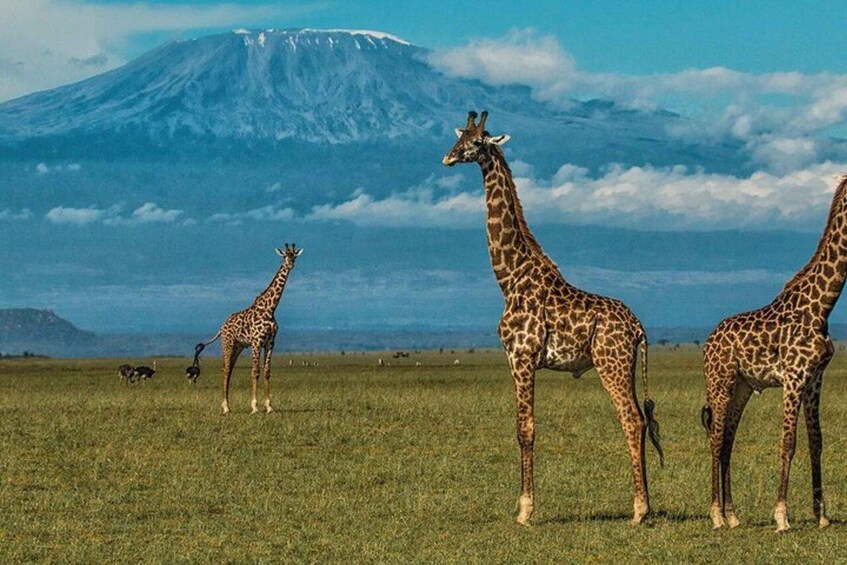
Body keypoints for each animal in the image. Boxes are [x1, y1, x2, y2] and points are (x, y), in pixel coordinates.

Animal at [199, 243, 303, 414]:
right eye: (284, 256)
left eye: (294, 256)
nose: (290, 265)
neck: (270, 309)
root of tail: (222, 327)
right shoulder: (256, 342)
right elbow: (255, 371)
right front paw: (254, 407)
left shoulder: (270, 343)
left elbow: (267, 372)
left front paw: (269, 406)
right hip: (227, 344)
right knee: (225, 369)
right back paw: (225, 407)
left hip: (238, 347)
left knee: (230, 369)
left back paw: (228, 405)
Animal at [442, 111, 663, 526]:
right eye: (460, 137)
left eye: (477, 142)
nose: (447, 157)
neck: (510, 278)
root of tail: (639, 327)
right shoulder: (519, 359)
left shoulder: (521, 357)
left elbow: (525, 428)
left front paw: (525, 510)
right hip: (624, 366)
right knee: (640, 419)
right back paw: (644, 505)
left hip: (610, 364)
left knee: (631, 418)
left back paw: (640, 510)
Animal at [702, 175, 847, 532]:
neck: (821, 307)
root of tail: (708, 342)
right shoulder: (793, 377)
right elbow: (789, 442)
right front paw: (781, 515)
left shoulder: (815, 379)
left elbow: (816, 441)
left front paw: (821, 515)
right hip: (720, 383)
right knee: (715, 440)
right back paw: (716, 515)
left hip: (741, 387)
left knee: (728, 441)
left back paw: (733, 515)